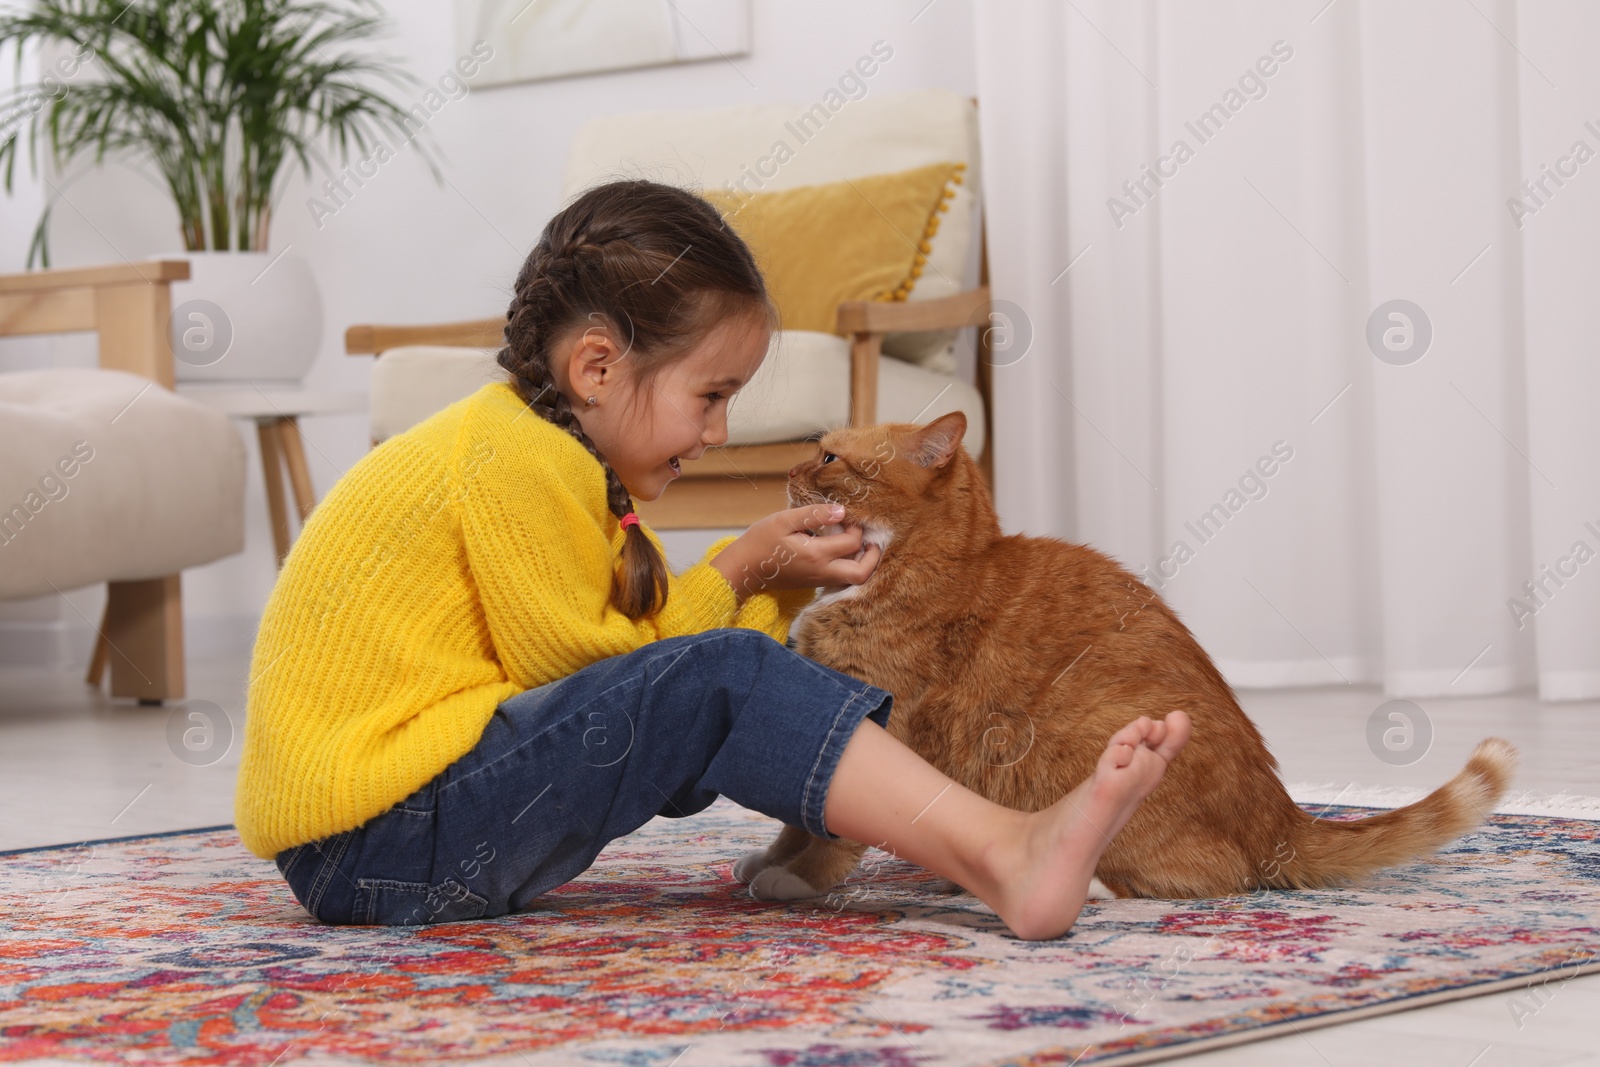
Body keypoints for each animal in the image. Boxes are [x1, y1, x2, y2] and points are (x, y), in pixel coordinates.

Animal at [732, 412, 1516, 902]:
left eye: (829, 457)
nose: (787, 473)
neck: (916, 567)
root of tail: (1279, 819)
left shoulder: (879, 719)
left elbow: (830, 825)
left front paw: (800, 879)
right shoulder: (822, 710)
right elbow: (797, 809)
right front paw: (772, 860)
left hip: (1080, 744)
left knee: (1197, 877)